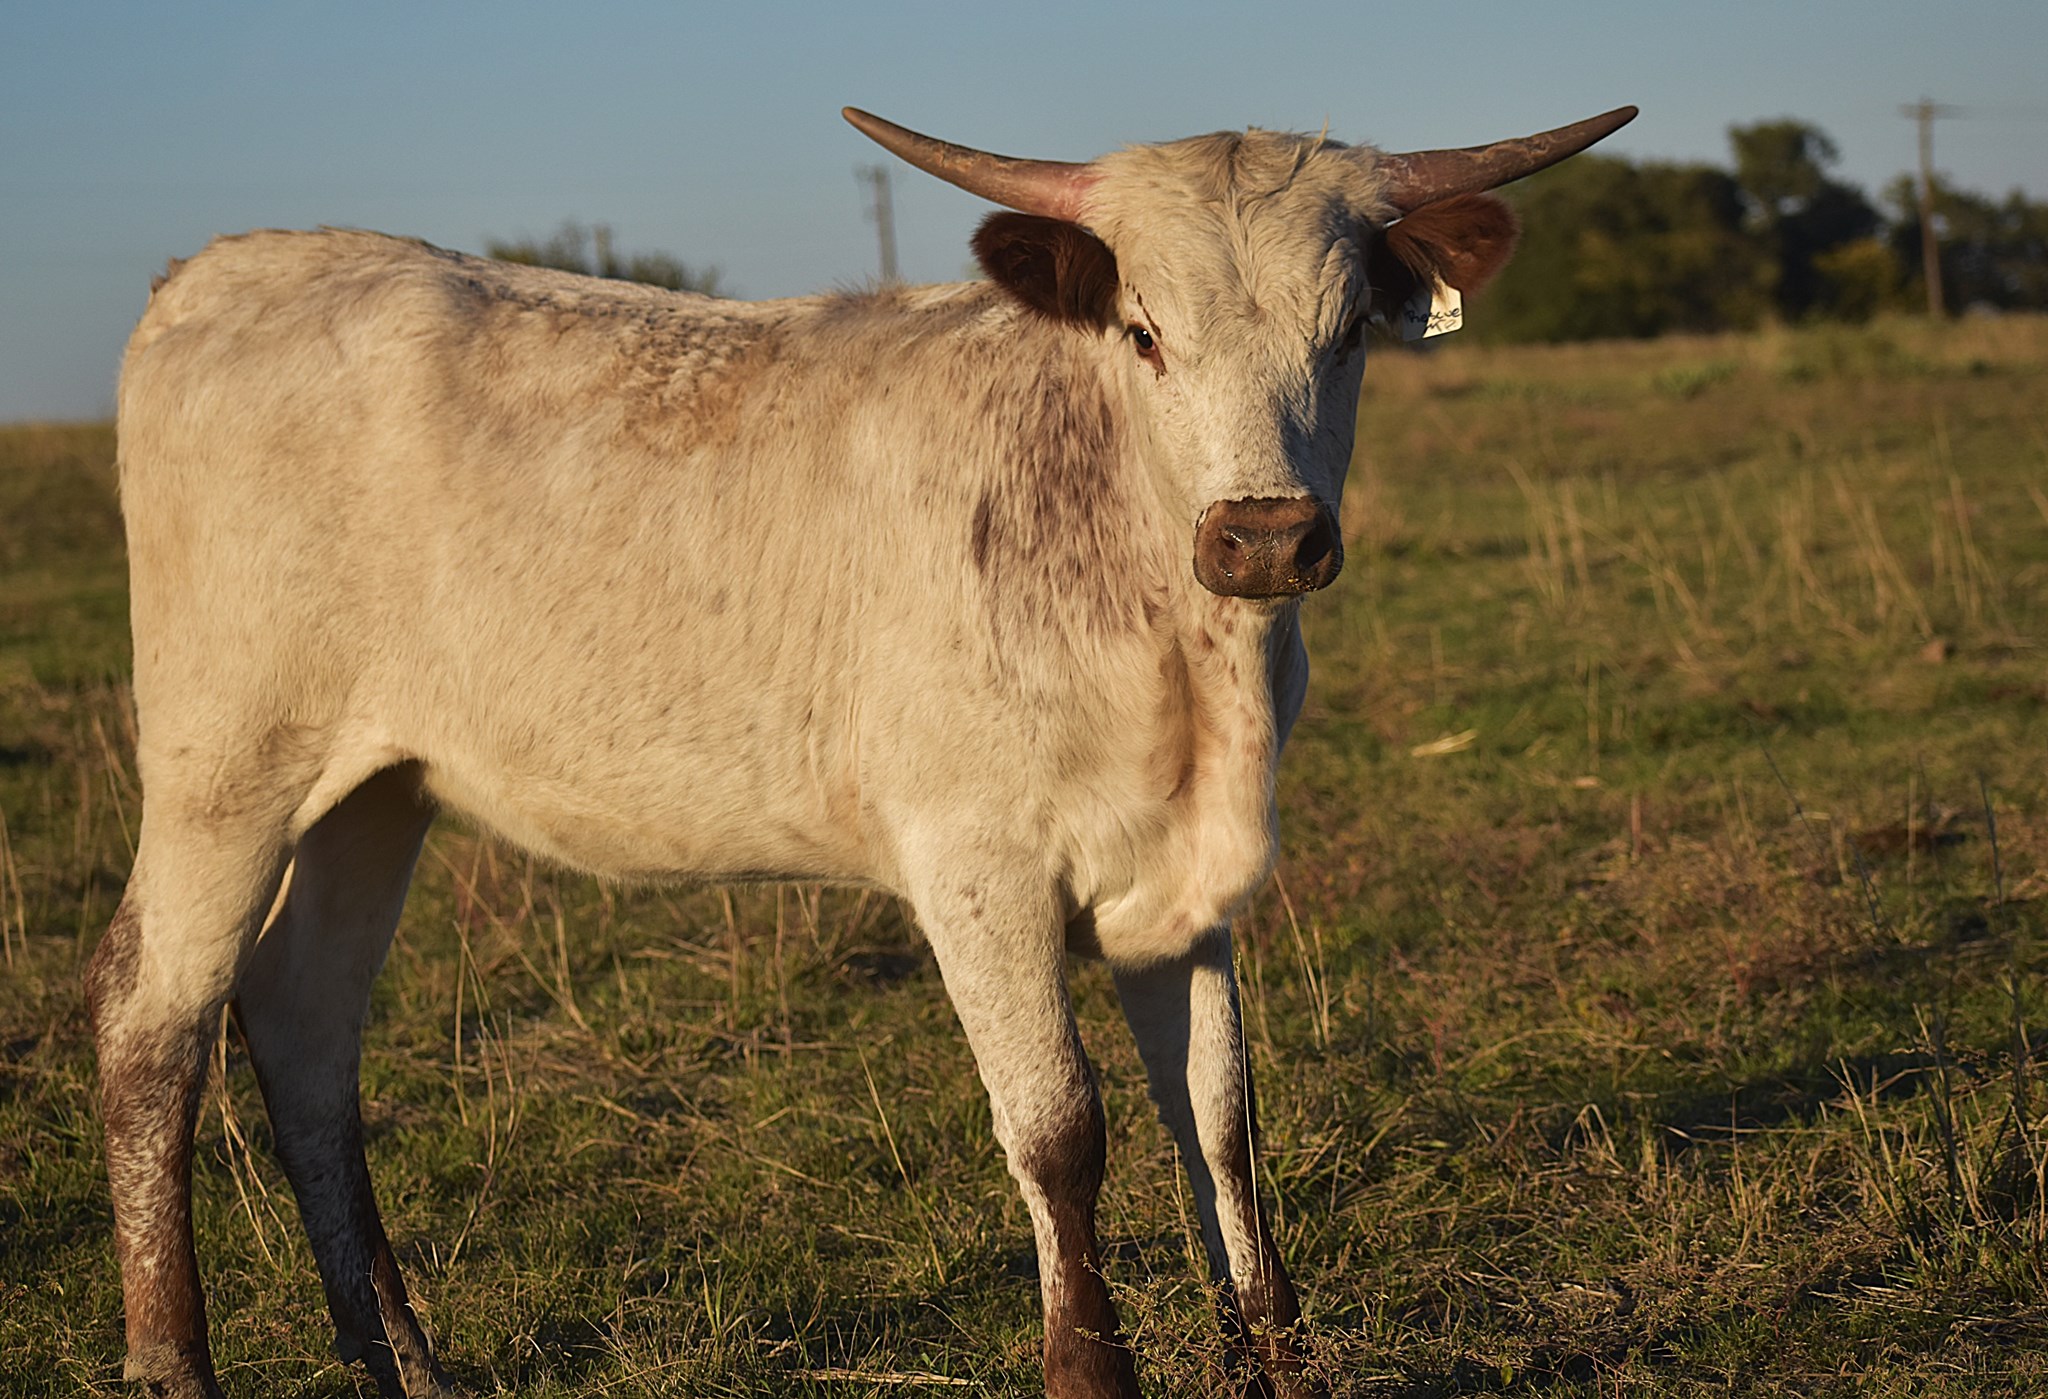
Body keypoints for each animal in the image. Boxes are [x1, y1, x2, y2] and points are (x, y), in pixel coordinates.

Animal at [86, 103, 1634, 1398]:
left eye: (1349, 332)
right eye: (1142, 332)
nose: (1263, 536)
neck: (1188, 662)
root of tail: (226, 269)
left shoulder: (1183, 881)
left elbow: (1221, 1117)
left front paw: (1281, 1361)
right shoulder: (977, 868)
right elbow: (1060, 1126)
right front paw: (1088, 1368)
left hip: (375, 787)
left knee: (302, 1026)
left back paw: (404, 1358)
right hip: (228, 765)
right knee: (150, 1020)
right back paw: (174, 1363)